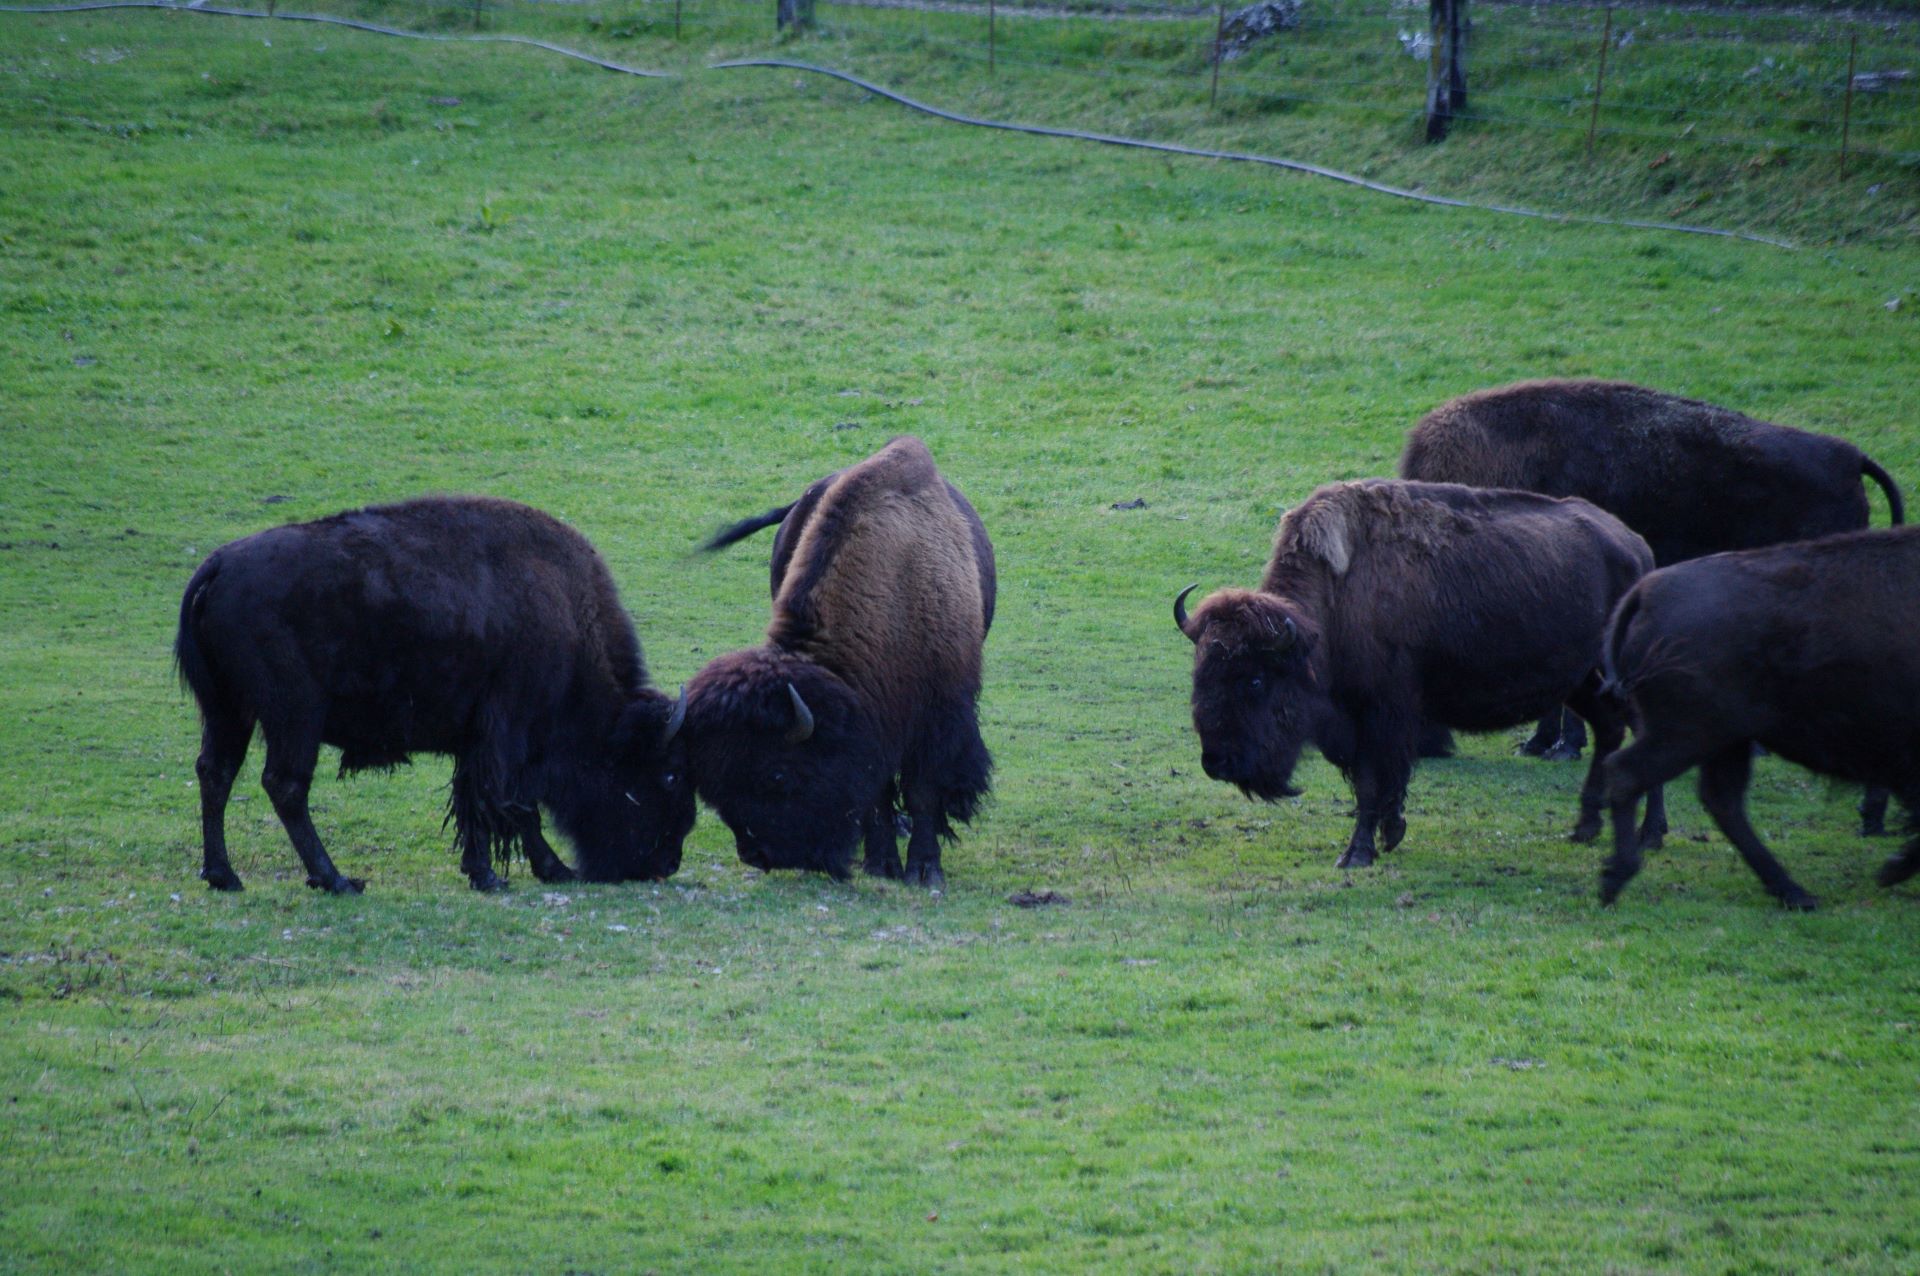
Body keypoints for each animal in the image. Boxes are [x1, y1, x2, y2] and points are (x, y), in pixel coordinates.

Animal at [174, 491, 698, 890]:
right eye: (669, 775)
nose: (667, 863)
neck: (566, 615)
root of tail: (218, 566)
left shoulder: (479, 741)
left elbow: (489, 803)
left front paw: (512, 871)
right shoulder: (505, 735)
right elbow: (505, 805)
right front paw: (507, 875)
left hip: (228, 711)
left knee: (216, 773)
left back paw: (224, 876)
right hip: (294, 715)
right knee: (285, 785)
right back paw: (337, 880)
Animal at [683, 435, 998, 886]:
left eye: (779, 774)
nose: (757, 855)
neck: (894, 594)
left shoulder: (936, 713)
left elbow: (922, 788)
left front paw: (924, 870)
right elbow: (878, 790)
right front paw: (882, 863)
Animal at [1175, 477, 1658, 867]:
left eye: (1256, 680)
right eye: (1200, 675)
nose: (1216, 762)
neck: (1331, 609)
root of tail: (1638, 549)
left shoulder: (1379, 716)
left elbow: (1373, 782)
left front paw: (1358, 853)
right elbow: (1379, 784)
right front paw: (1390, 833)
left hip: (1622, 680)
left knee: (1644, 736)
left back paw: (1648, 836)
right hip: (1581, 680)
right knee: (1610, 730)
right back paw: (1586, 828)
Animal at [1589, 525, 1920, 905]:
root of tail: (1645, 592)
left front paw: (1893, 867)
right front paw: (1893, 869)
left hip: (1726, 739)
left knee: (1721, 800)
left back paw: (1793, 892)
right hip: (1691, 734)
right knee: (1630, 772)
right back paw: (1615, 879)